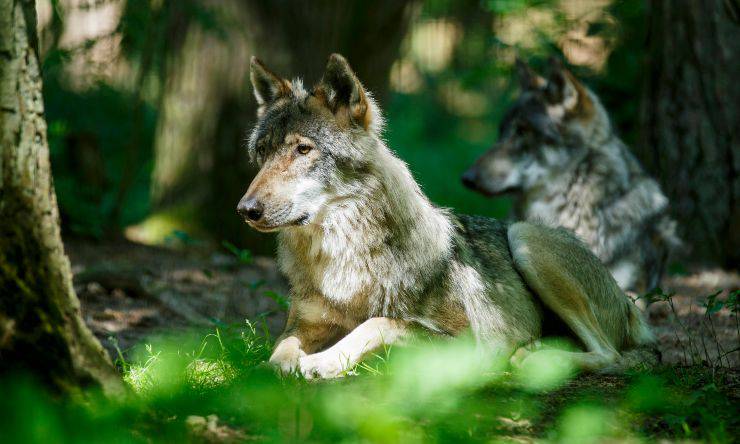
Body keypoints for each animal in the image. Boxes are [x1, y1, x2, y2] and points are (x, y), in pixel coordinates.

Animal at [237, 54, 654, 379]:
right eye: (262, 153)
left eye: (304, 150)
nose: (246, 209)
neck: (346, 256)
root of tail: (628, 303)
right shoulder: (305, 322)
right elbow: (282, 347)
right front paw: (272, 369)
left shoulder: (466, 342)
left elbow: (382, 322)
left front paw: (323, 362)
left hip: (525, 238)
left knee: (610, 354)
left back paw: (533, 357)